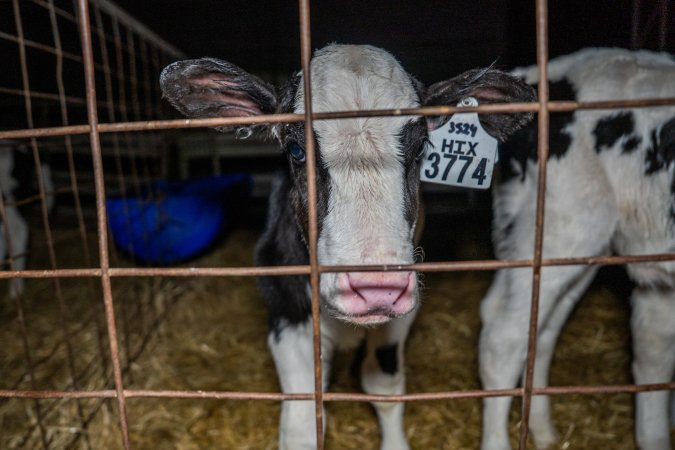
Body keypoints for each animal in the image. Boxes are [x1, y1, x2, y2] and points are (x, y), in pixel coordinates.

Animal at [160, 43, 535, 450]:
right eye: (296, 150)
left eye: (421, 147)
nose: (376, 288)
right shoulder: (287, 312)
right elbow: (303, 421)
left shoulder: (399, 319)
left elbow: (383, 385)